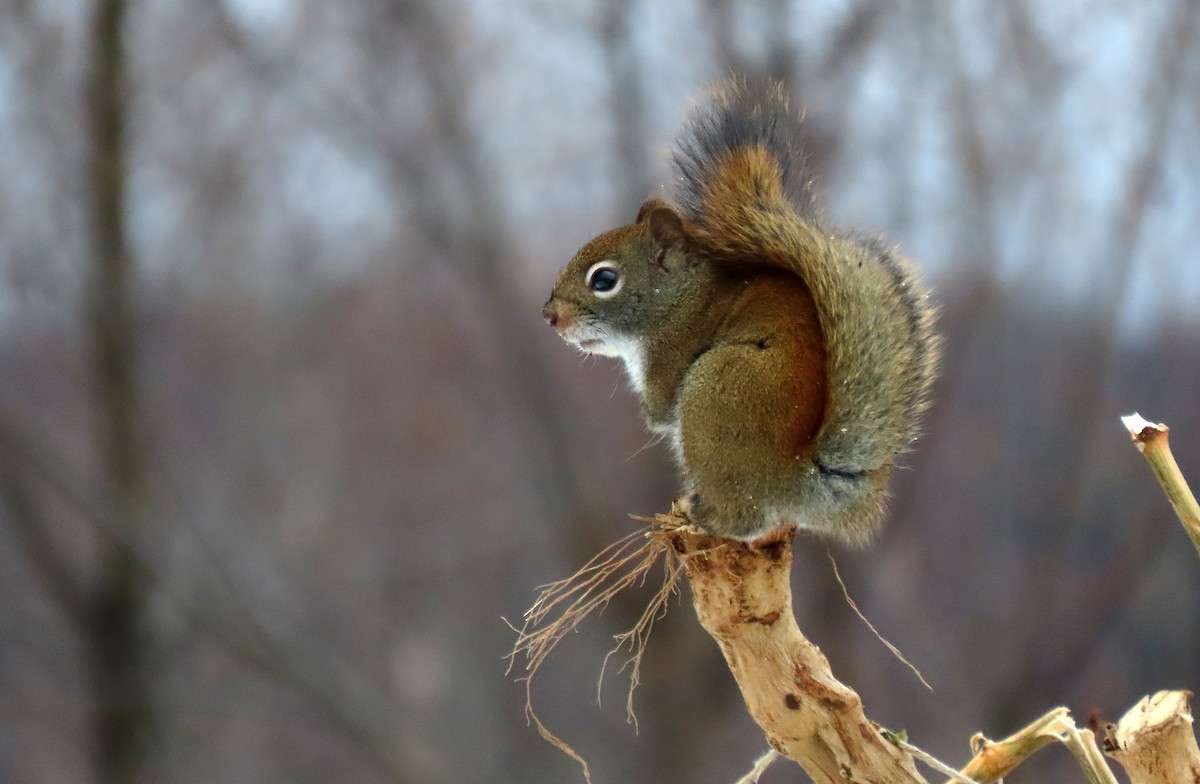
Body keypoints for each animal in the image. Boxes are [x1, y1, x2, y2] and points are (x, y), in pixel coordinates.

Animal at [542, 80, 939, 544]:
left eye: (604, 280)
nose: (550, 316)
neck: (680, 299)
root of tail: (798, 481)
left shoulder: (671, 355)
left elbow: (659, 409)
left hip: (714, 391)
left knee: (741, 519)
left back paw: (704, 517)